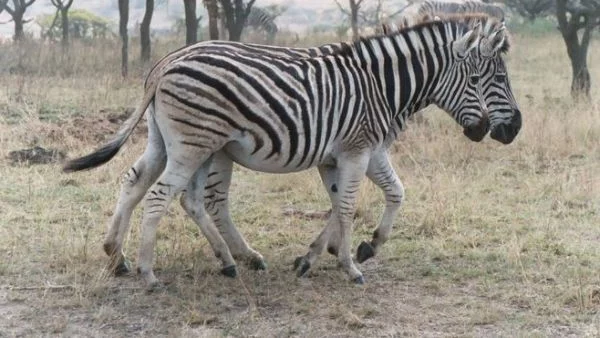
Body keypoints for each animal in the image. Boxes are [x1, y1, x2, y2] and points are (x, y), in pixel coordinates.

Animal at [63, 15, 516, 288]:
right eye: (483, 79)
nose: (511, 130)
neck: (381, 86)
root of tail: (165, 63)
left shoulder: (352, 154)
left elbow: (383, 195)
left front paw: (339, 252)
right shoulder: (356, 150)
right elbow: (348, 206)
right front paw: (350, 265)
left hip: (175, 142)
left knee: (142, 183)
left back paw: (123, 256)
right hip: (194, 144)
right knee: (164, 196)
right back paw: (149, 272)